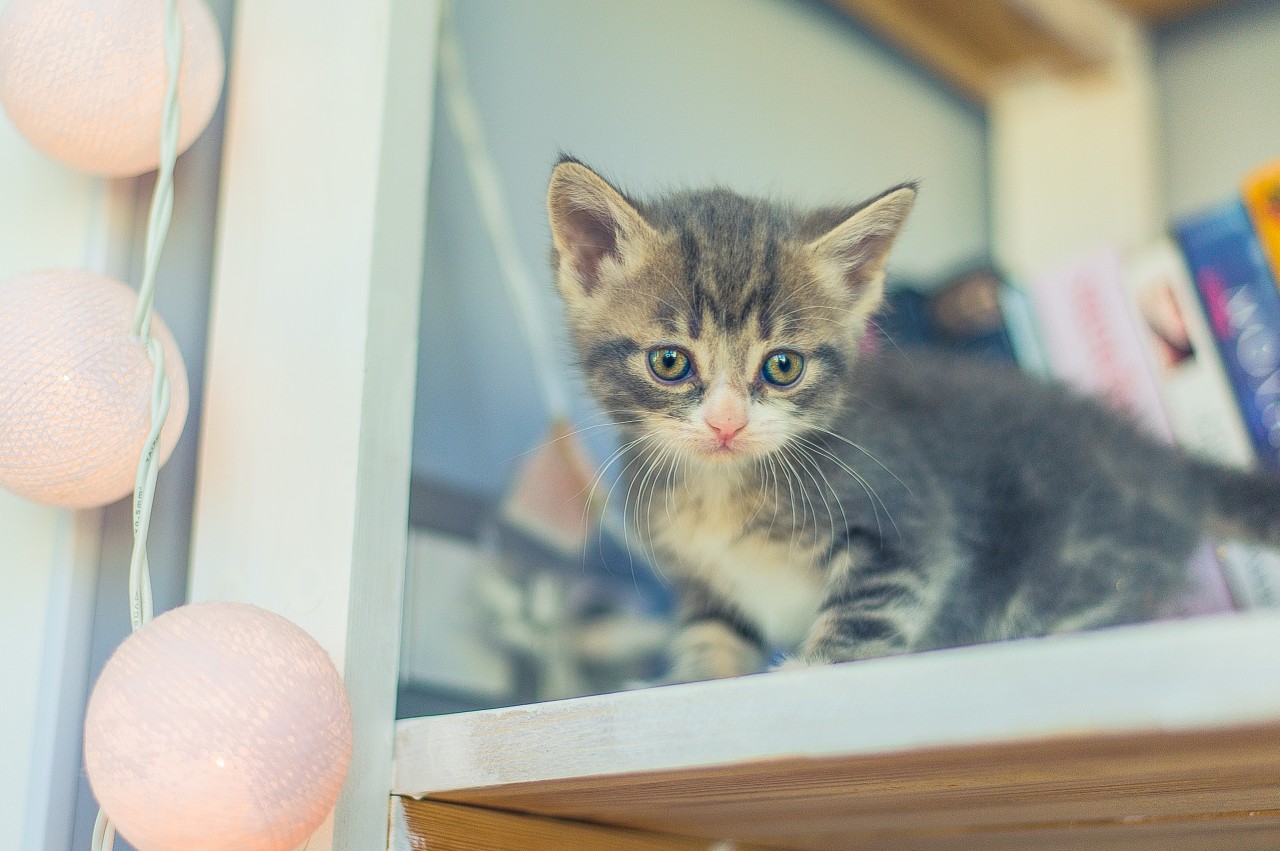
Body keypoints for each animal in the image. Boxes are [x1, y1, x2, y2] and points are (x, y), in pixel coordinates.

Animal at [545, 154, 1274, 685]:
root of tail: (1157, 460)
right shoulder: (701, 581)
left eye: (782, 366)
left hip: (1082, 557)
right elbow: (712, 631)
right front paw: (693, 680)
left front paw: (808, 669)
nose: (727, 423)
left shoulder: (907, 524)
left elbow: (871, 608)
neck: (723, 490)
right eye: (670, 361)